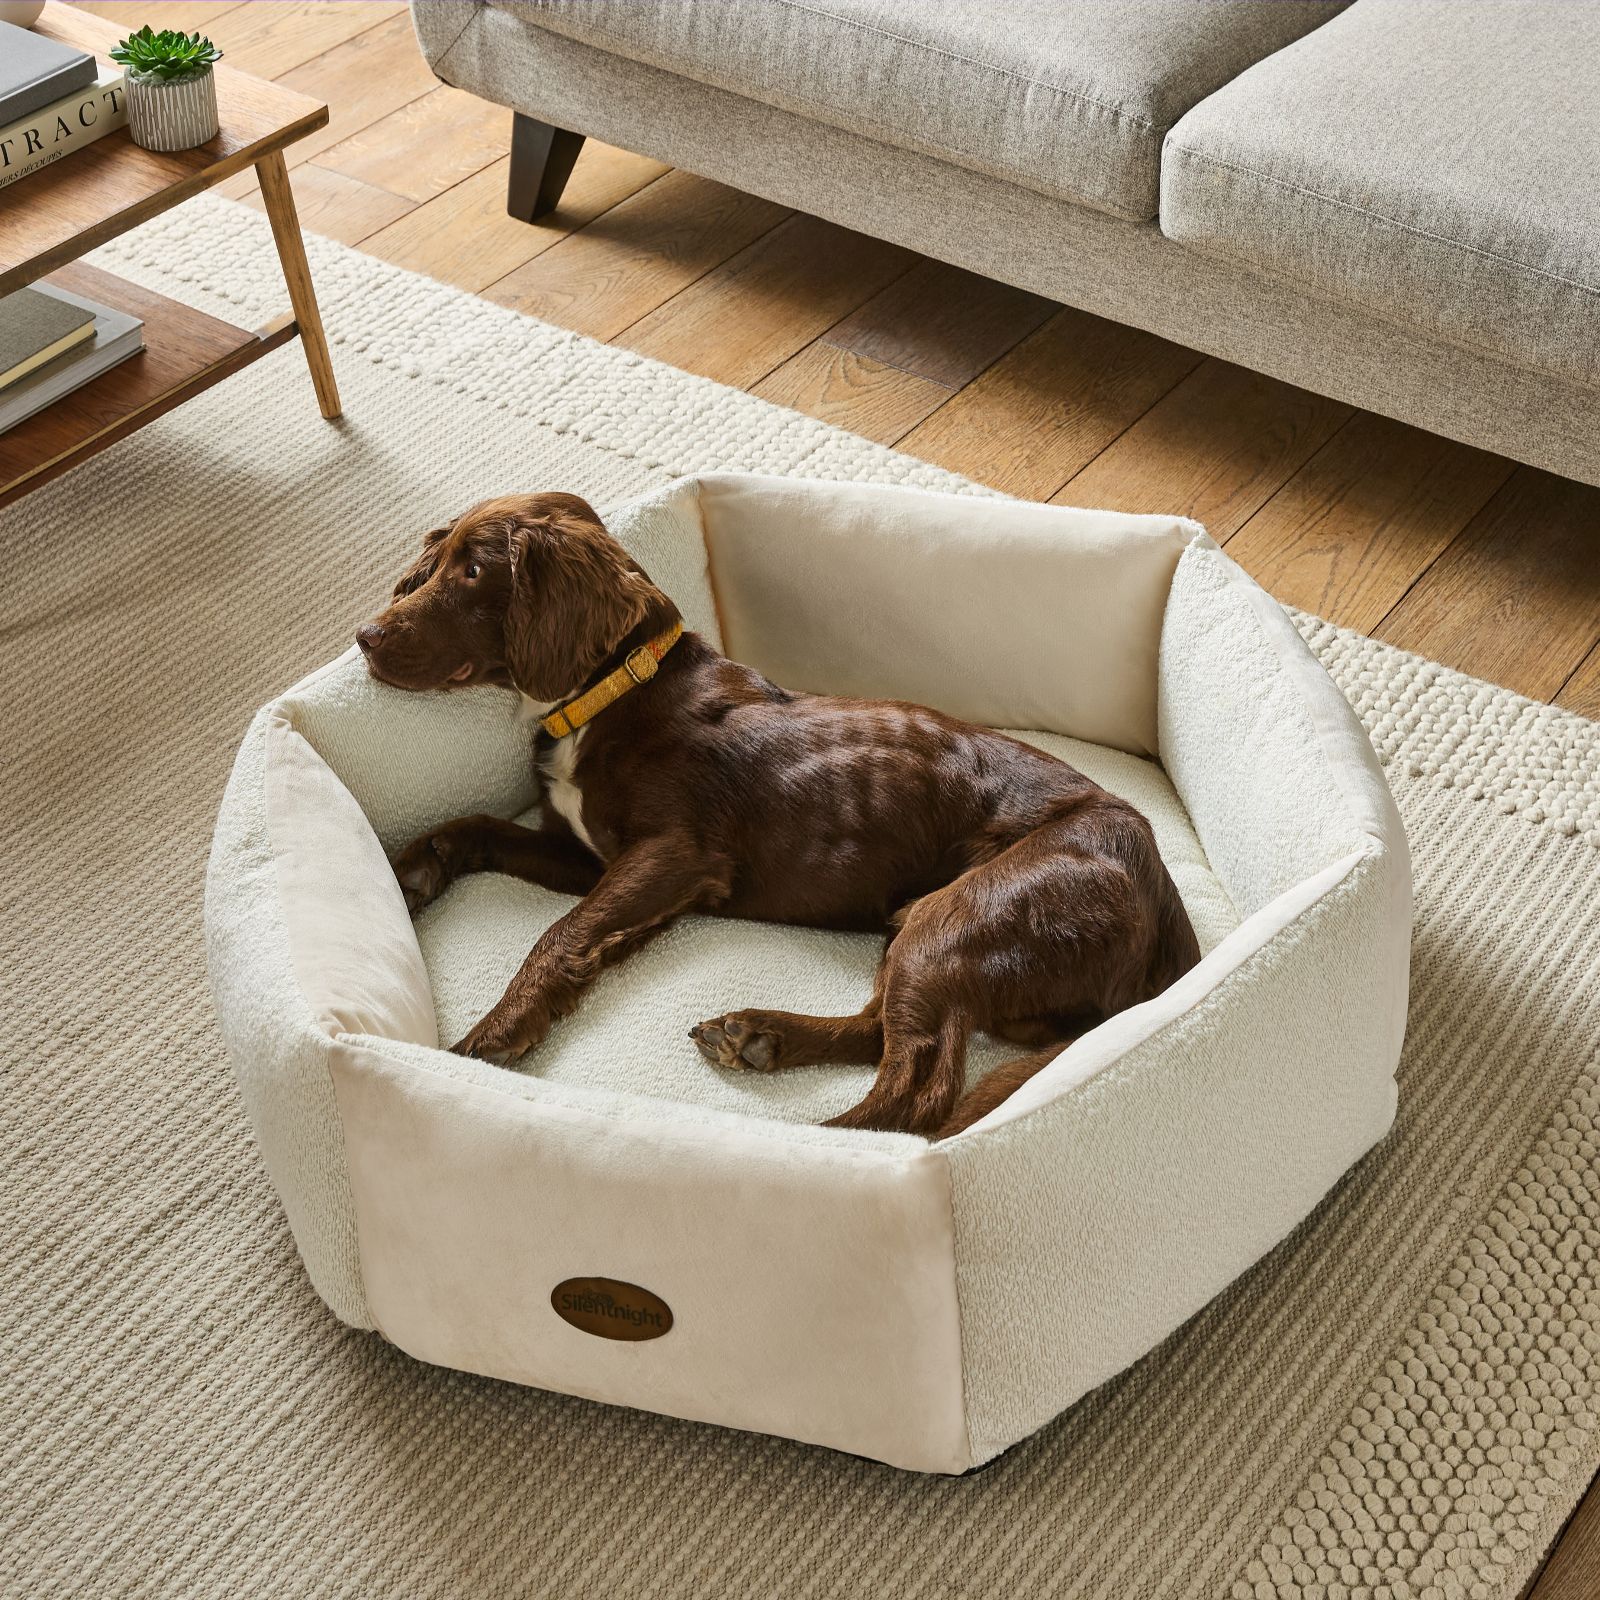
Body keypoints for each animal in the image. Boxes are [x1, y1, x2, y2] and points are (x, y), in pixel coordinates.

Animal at [356, 493, 1200, 1139]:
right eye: (436, 561)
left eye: (473, 571)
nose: (364, 636)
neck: (613, 694)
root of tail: (1165, 899)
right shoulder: (589, 856)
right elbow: (477, 828)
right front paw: (412, 869)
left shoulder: (675, 854)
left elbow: (558, 936)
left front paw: (493, 1037)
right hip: (922, 926)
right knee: (881, 1034)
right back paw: (757, 1036)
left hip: (960, 917)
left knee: (918, 1086)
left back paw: (815, 1144)